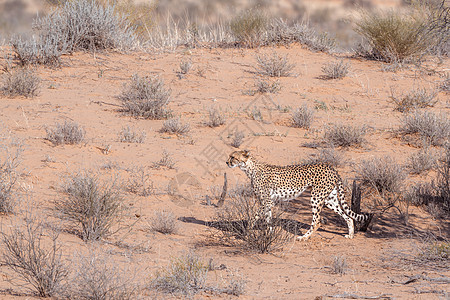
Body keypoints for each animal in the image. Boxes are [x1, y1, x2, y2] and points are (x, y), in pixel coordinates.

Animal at [227, 151, 374, 240]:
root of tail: (331, 167)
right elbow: (268, 219)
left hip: (316, 197)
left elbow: (254, 217)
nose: (227, 162)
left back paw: (304, 237)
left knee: (317, 221)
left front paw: (246, 232)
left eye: (233, 157)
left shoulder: (266, 201)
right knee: (348, 217)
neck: (250, 168)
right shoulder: (268, 202)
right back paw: (350, 235)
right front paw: (270, 234)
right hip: (329, 199)